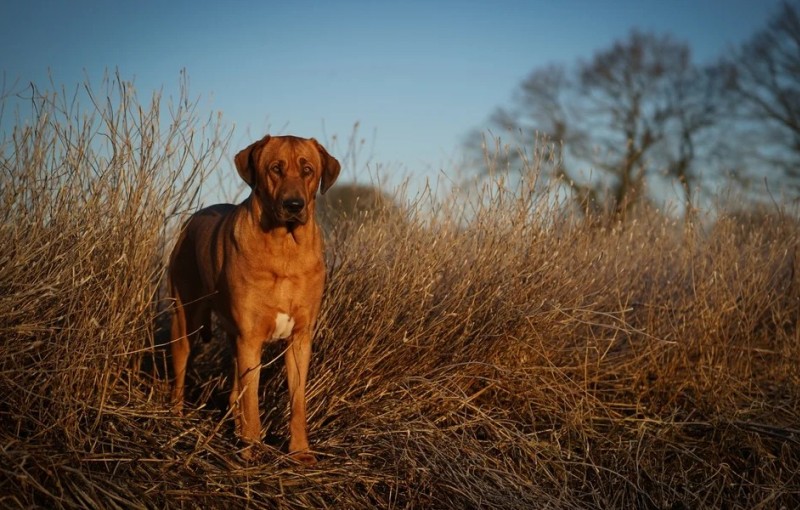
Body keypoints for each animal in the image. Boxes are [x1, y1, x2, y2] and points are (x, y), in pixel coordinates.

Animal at [170, 134, 340, 462]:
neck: (286, 248)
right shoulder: (250, 338)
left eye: (308, 170)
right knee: (181, 369)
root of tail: (190, 221)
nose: (294, 205)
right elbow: (252, 402)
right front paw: (251, 450)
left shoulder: (299, 339)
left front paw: (300, 451)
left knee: (235, 389)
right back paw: (175, 418)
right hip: (185, 318)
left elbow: (297, 402)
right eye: (275, 168)